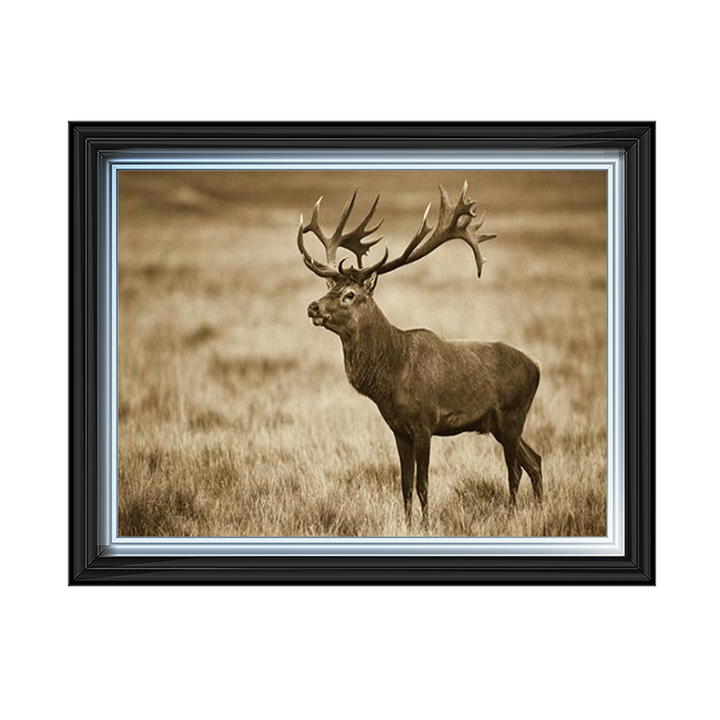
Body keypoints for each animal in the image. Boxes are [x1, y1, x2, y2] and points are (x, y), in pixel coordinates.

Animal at [297, 181, 543, 529]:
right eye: (329, 287)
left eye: (350, 294)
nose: (313, 307)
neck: (390, 376)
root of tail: (537, 366)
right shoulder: (398, 429)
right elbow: (404, 484)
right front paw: (407, 523)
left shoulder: (425, 422)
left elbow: (423, 484)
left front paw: (425, 526)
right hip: (499, 423)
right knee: (535, 460)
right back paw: (540, 509)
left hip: (512, 415)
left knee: (515, 470)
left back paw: (512, 516)